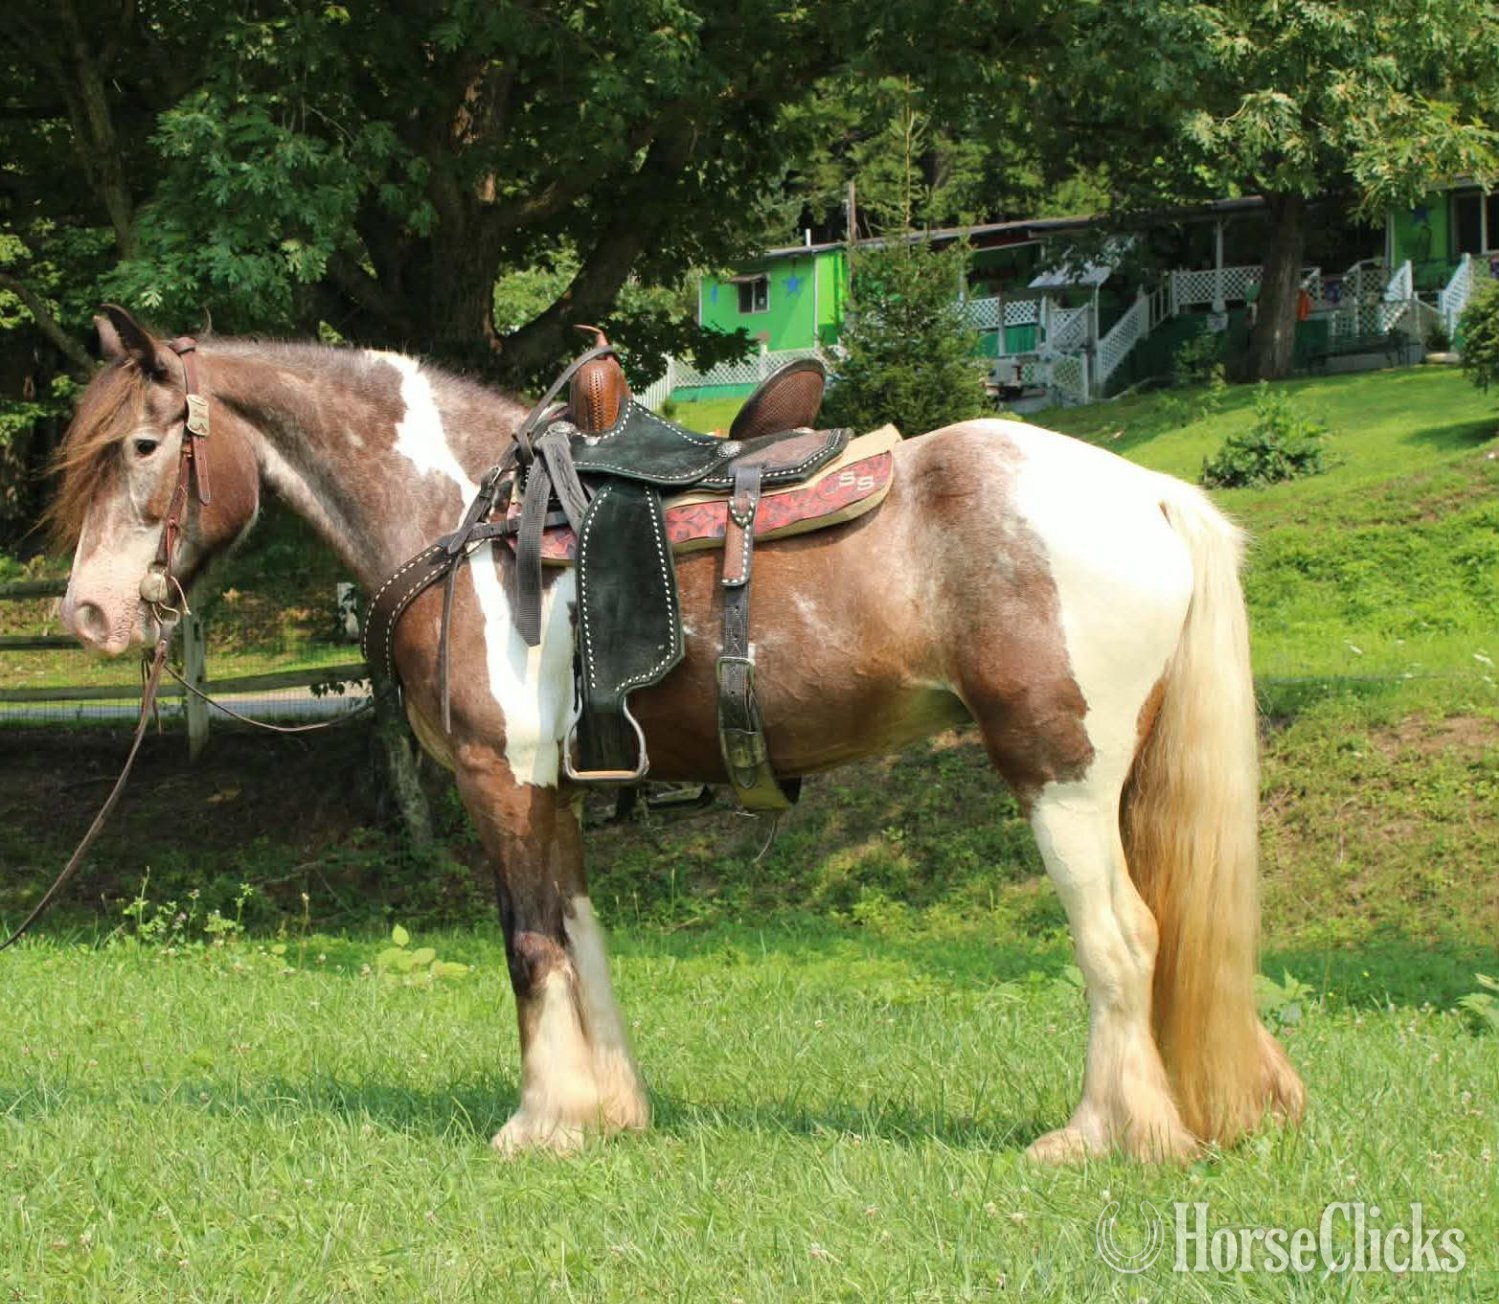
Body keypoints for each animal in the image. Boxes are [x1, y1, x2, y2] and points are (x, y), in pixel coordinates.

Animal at [52, 306, 1304, 1162]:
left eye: (144, 449)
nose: (91, 613)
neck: (471, 518)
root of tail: (1147, 493)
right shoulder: (552, 787)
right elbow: (581, 933)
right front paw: (606, 1111)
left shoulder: (499, 781)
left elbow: (529, 944)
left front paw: (538, 1119)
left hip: (1059, 775)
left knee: (1120, 939)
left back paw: (1099, 1134)